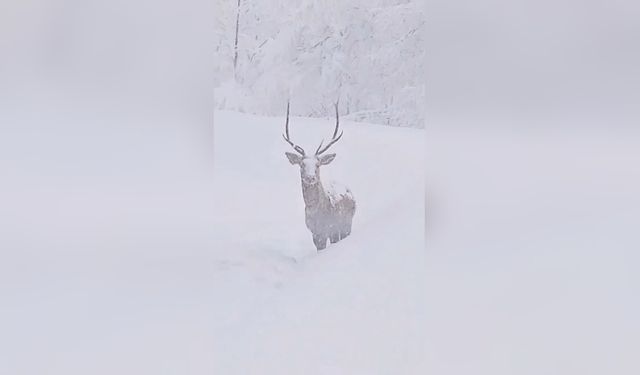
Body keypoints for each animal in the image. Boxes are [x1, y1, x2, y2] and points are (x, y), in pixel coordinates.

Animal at [284, 101, 358, 251]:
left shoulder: (333, 227)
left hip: (347, 222)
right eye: (302, 164)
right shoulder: (315, 233)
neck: (319, 217)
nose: (310, 178)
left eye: (317, 165)